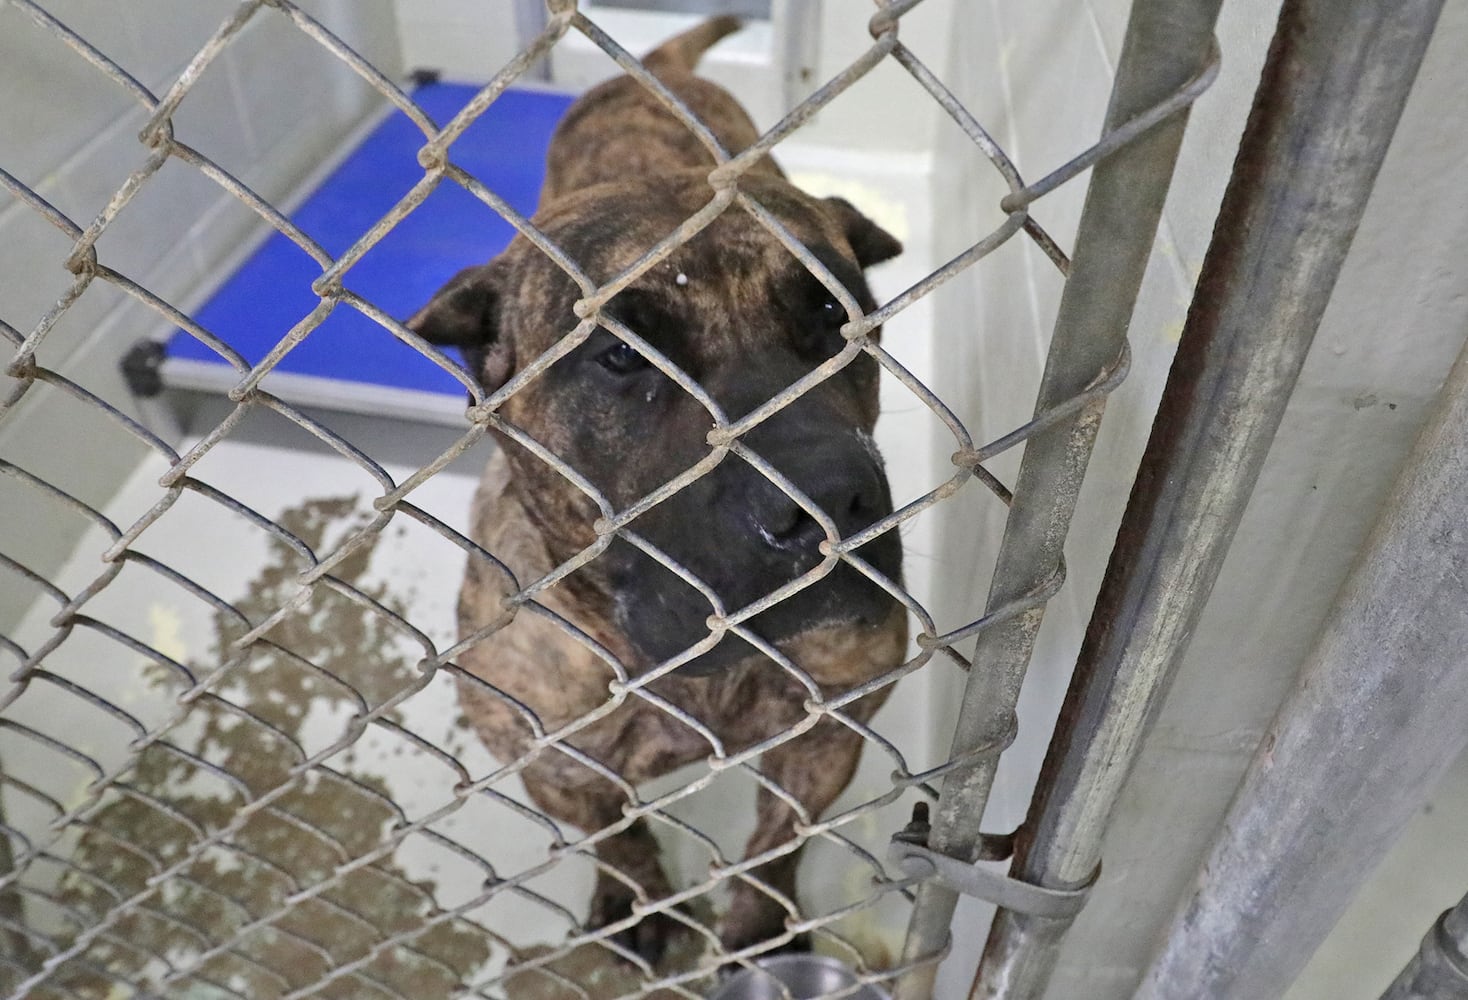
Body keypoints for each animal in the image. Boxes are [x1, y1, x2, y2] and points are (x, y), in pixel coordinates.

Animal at [405, 15, 904, 963]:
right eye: (619, 357)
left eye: (835, 314)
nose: (829, 502)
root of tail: (655, 67)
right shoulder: (560, 767)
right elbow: (623, 841)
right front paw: (634, 902)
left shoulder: (826, 735)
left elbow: (775, 848)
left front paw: (759, 934)